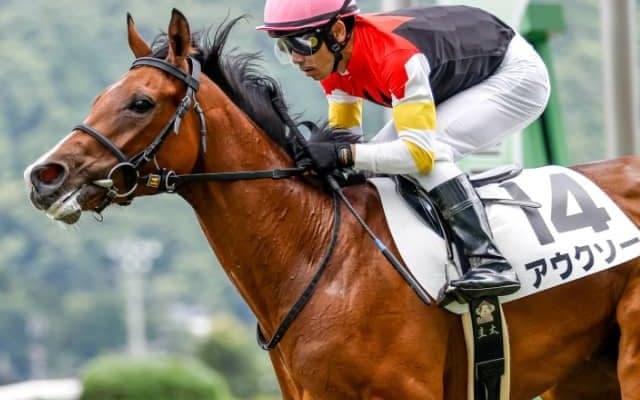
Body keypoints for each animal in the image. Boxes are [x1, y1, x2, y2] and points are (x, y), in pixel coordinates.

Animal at [23, 9, 639, 399]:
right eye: (99, 98)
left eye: (140, 103)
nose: (43, 176)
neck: (318, 249)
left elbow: (421, 147)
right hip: (584, 375)